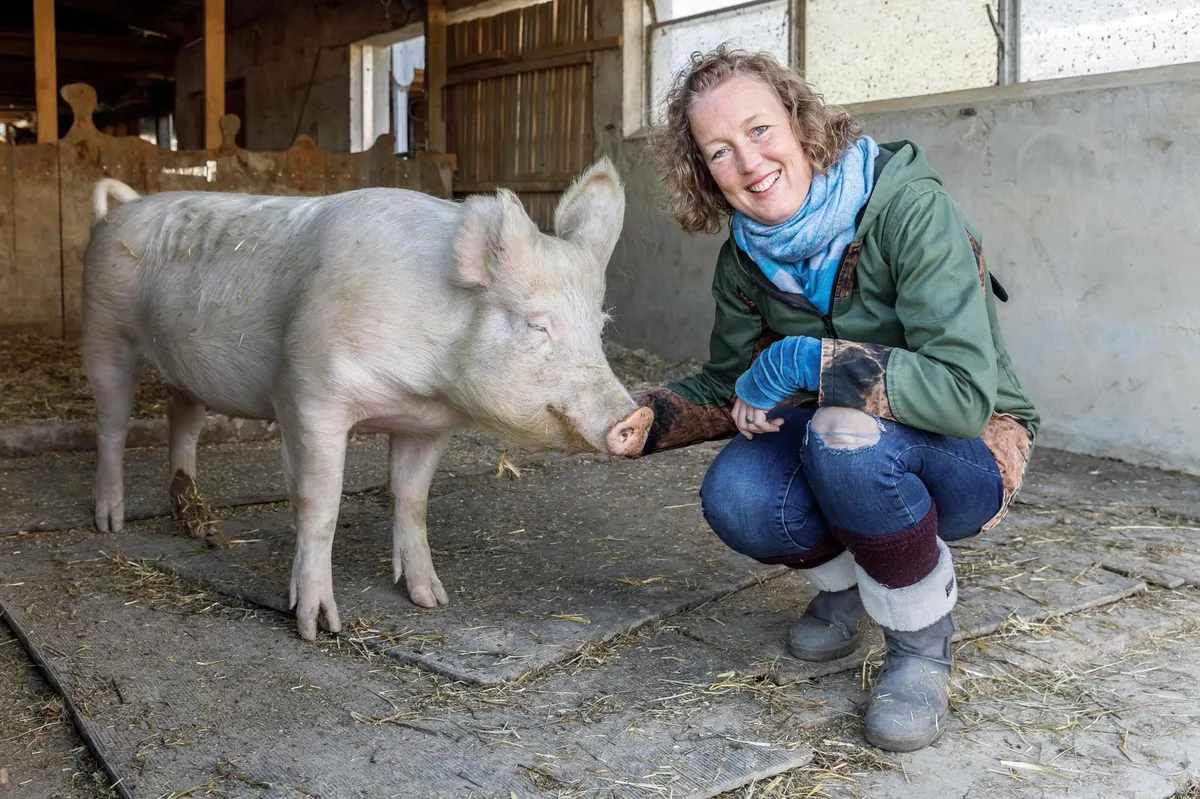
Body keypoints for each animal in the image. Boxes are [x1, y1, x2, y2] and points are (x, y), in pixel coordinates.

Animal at [81, 158, 653, 641]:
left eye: (600, 326)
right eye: (538, 325)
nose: (639, 415)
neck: (421, 383)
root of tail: (121, 209)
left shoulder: (427, 424)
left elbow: (413, 501)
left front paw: (432, 600)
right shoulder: (308, 395)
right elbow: (320, 506)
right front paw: (317, 627)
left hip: (184, 366)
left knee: (182, 415)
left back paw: (196, 520)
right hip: (106, 332)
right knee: (110, 426)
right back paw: (110, 522)